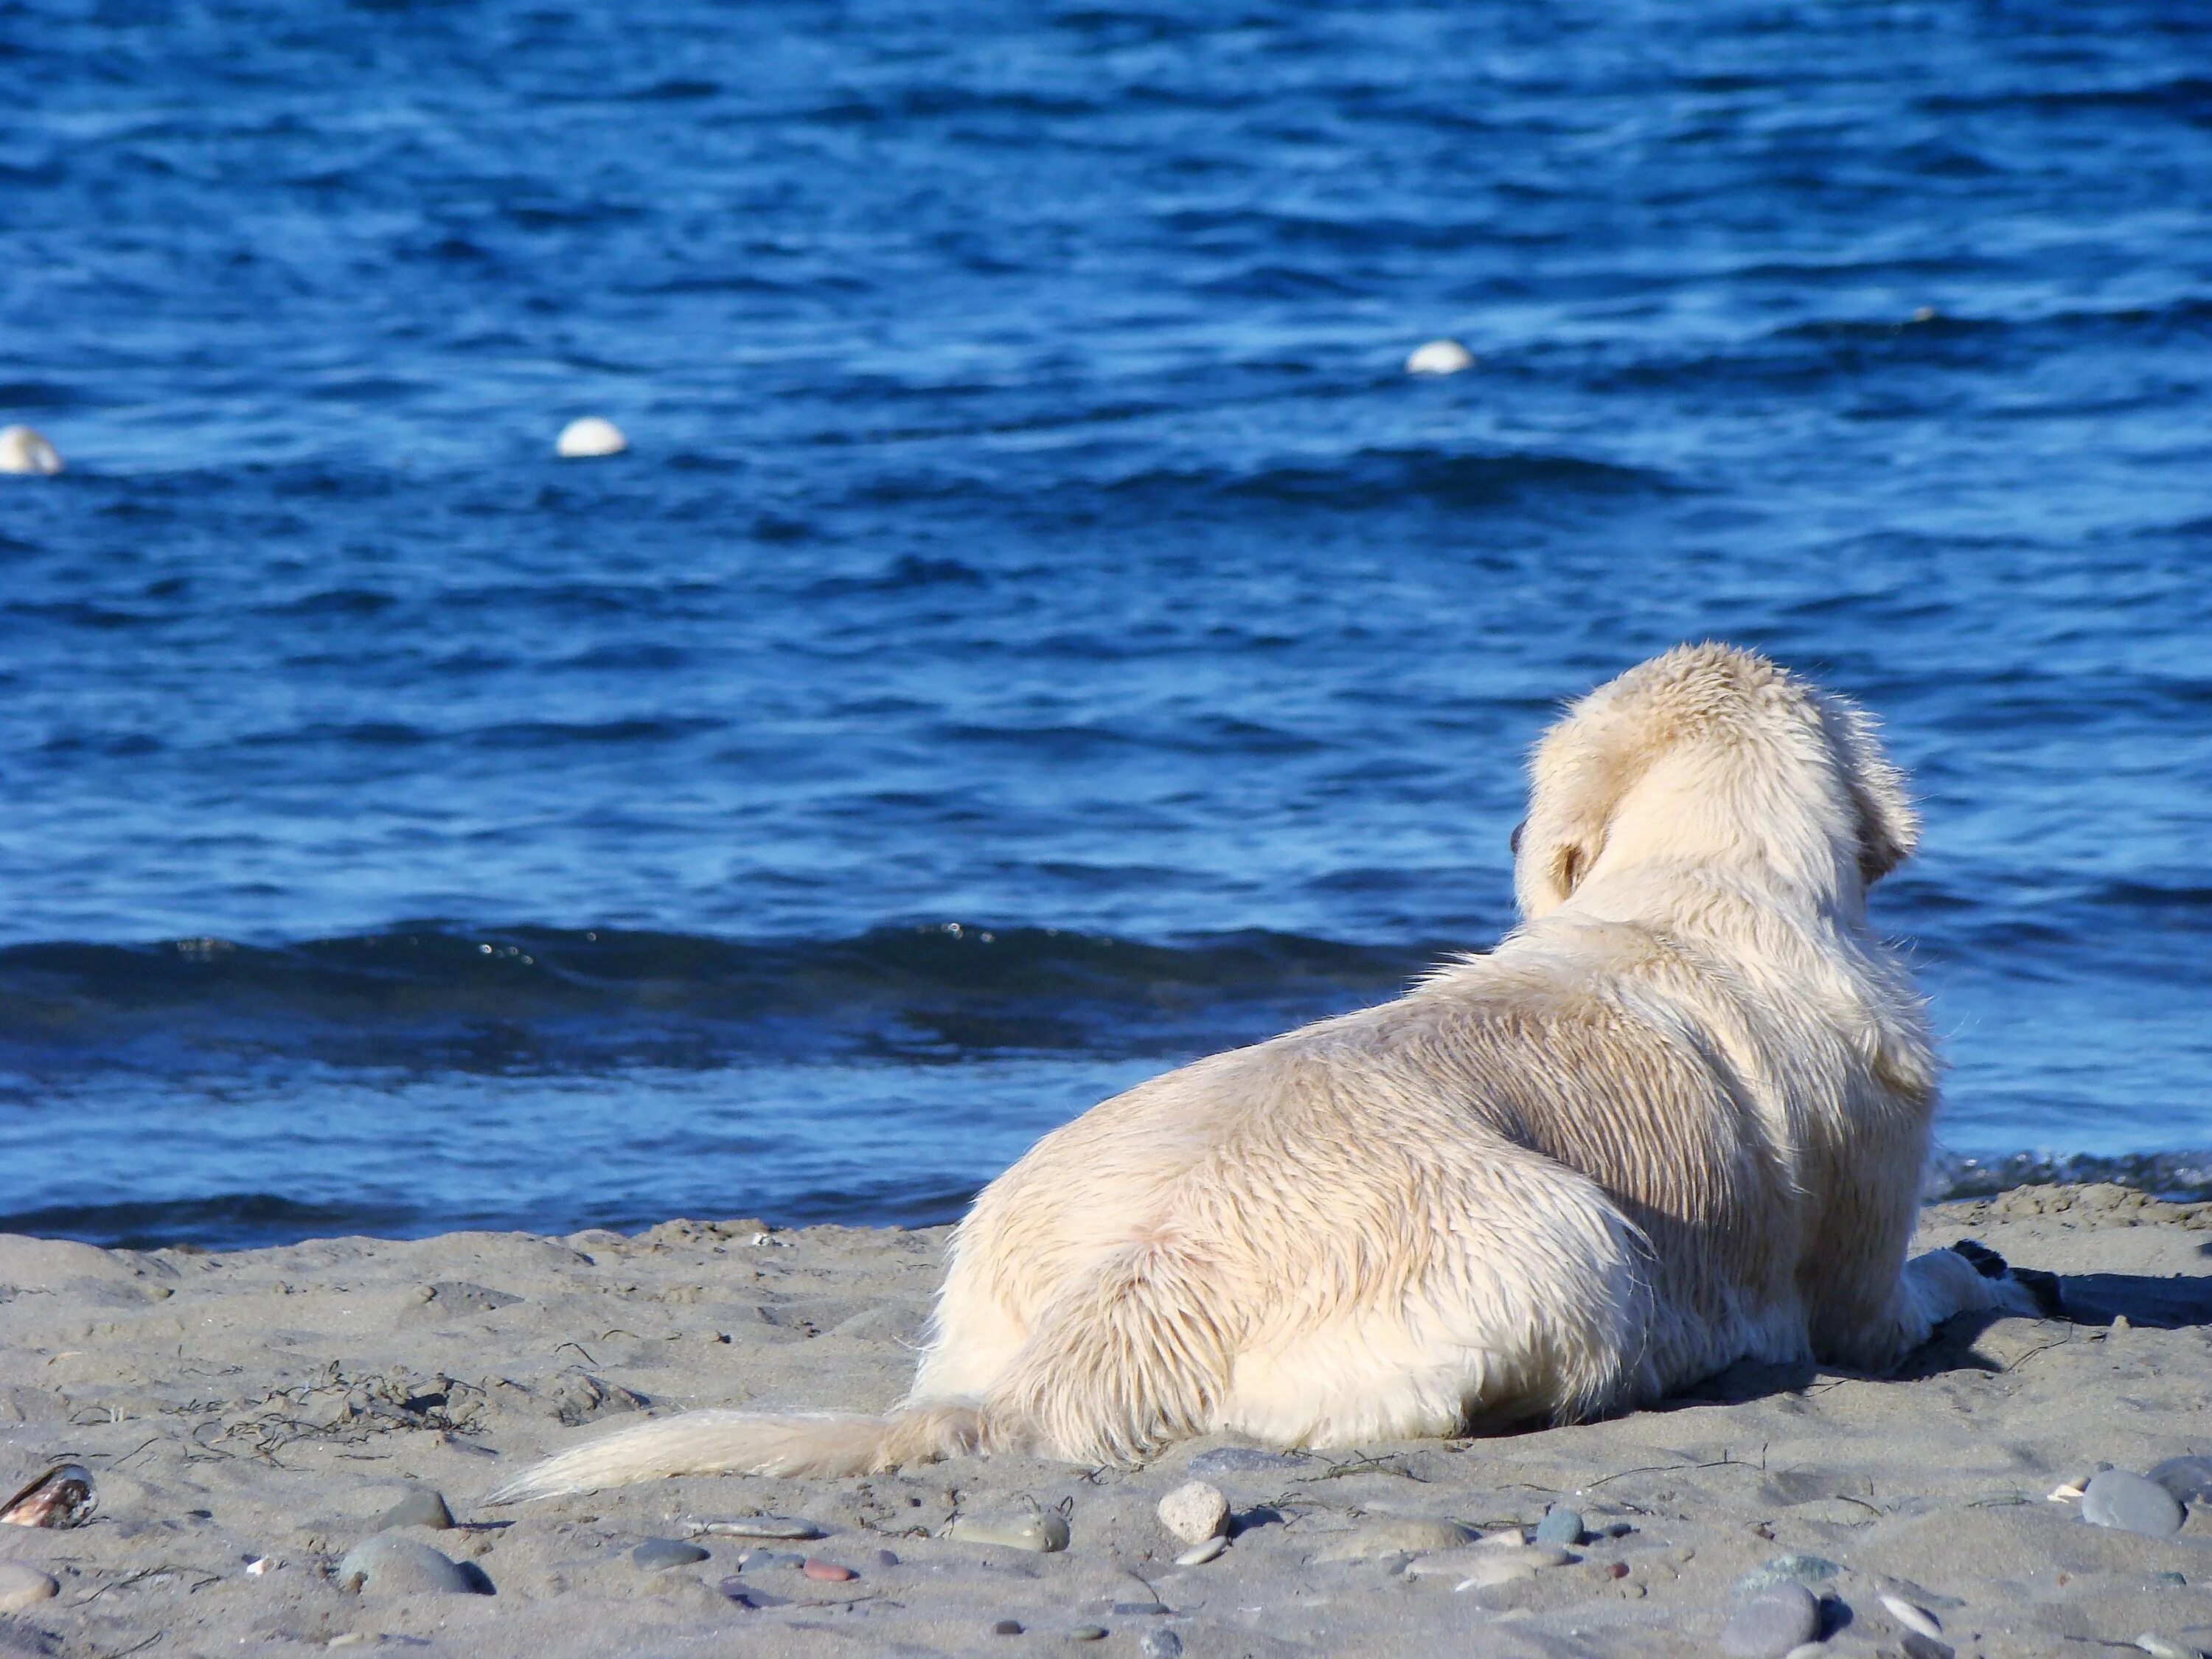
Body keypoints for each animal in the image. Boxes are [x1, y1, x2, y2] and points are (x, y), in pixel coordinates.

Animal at [493, 641, 2044, 1504]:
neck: (1702, 885)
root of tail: (1128, 1297)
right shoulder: (1857, 1272)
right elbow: (1916, 1289)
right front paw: (1991, 1271)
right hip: (1577, 1241)